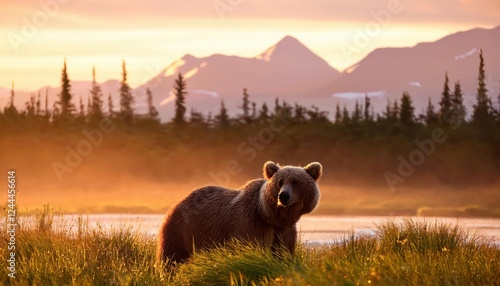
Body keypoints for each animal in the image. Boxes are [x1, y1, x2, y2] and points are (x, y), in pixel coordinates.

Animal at [156, 161, 322, 264]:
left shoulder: (284, 232)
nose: (284, 196)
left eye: (295, 182)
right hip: (181, 230)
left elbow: (284, 253)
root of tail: (179, 202)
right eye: (280, 182)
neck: (270, 216)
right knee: (172, 258)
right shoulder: (250, 226)